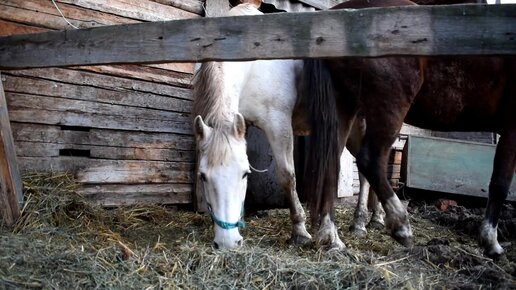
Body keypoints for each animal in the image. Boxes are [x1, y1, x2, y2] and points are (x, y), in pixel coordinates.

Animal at [302, 0, 516, 256]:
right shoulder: (513, 129)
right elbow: (500, 183)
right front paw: (491, 241)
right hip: (389, 106)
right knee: (370, 162)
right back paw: (400, 225)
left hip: (345, 106)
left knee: (332, 164)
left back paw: (332, 235)